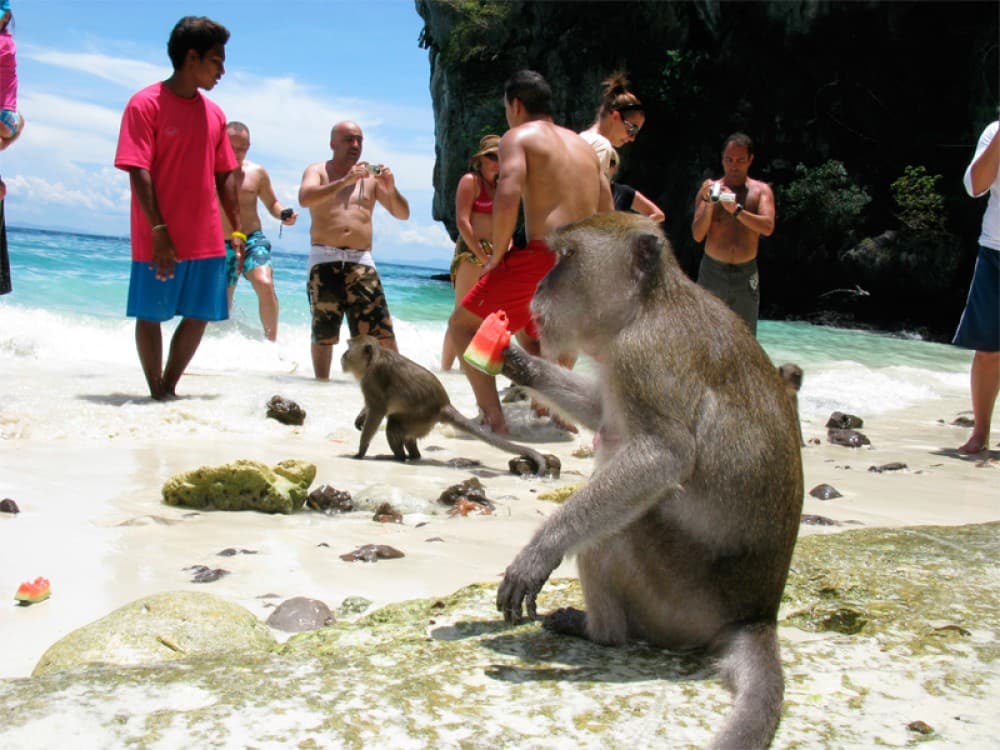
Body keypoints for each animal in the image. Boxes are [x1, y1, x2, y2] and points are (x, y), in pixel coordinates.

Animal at [340, 335, 559, 477]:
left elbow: (377, 411)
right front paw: (361, 417)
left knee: (394, 424)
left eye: (349, 348)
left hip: (421, 417)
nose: (342, 356)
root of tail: (444, 405)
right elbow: (372, 409)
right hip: (423, 422)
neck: (375, 358)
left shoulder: (371, 380)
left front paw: (360, 452)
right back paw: (412, 455)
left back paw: (399, 457)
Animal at [494, 213, 803, 750]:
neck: (646, 307)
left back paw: (600, 632)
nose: (539, 286)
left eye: (566, 257)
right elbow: (601, 412)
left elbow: (663, 455)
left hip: (681, 599)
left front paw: (539, 551)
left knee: (613, 532)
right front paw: (517, 361)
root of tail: (756, 616)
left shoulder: (645, 354)